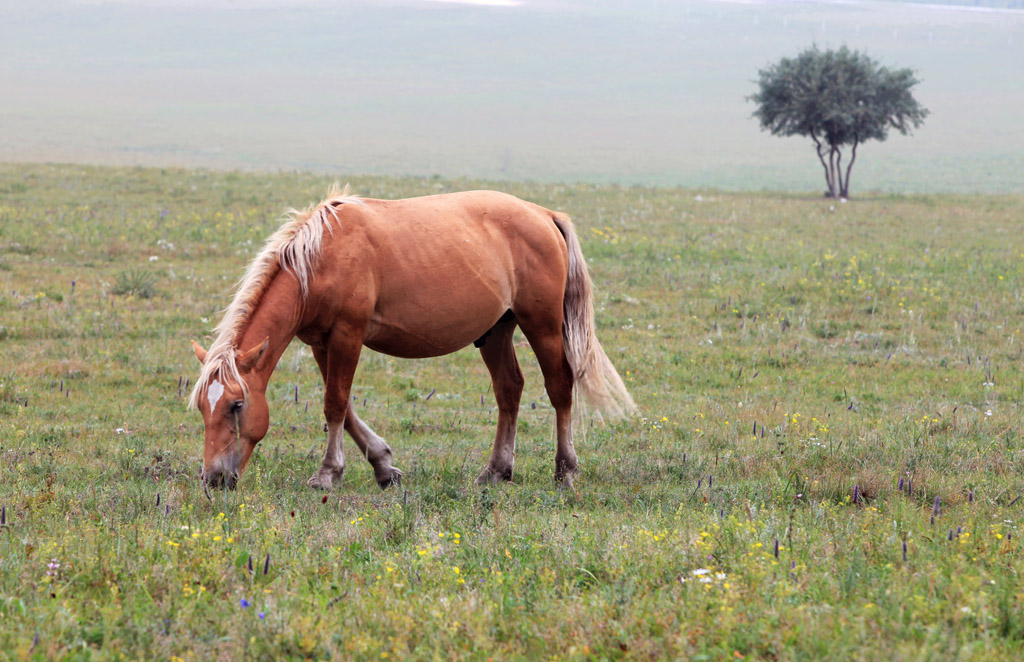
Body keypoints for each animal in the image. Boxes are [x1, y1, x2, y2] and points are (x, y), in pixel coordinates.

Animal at [185, 186, 630, 491]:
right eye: (203, 407)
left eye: (236, 405)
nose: (213, 478)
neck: (320, 259)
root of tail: (544, 214)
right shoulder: (320, 342)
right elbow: (344, 407)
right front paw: (383, 467)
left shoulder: (348, 333)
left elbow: (335, 404)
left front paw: (328, 474)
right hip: (496, 331)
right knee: (509, 390)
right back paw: (495, 470)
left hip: (542, 324)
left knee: (559, 389)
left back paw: (565, 470)